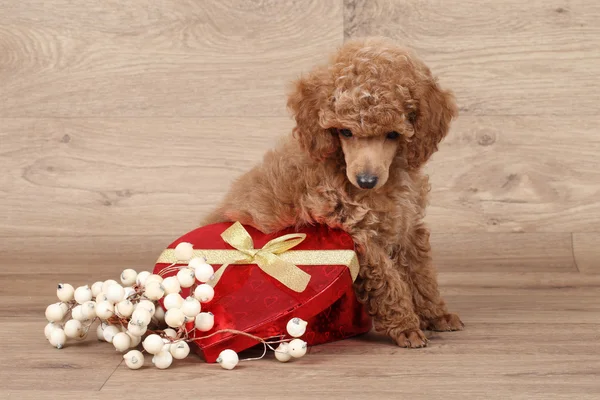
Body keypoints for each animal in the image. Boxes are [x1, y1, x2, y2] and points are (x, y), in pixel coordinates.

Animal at [205, 37, 464, 346]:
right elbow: (388, 281)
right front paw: (406, 325)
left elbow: (420, 273)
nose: (366, 180)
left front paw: (436, 315)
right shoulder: (358, 235)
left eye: (392, 134)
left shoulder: (407, 225)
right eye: (346, 132)